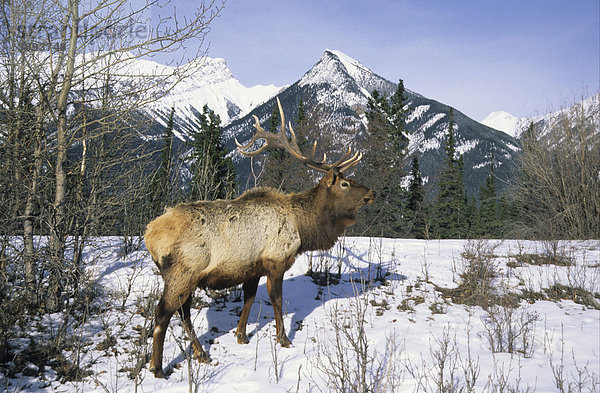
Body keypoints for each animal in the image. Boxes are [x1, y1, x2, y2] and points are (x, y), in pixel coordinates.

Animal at [144, 97, 372, 376]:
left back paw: (200, 353)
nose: (371, 193)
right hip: (183, 270)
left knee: (183, 311)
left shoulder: (251, 267)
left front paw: (242, 335)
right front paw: (284, 339)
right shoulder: (276, 260)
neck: (303, 227)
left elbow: (249, 299)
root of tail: (149, 235)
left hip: (186, 276)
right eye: (344, 184)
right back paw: (157, 367)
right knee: (163, 312)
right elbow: (277, 300)